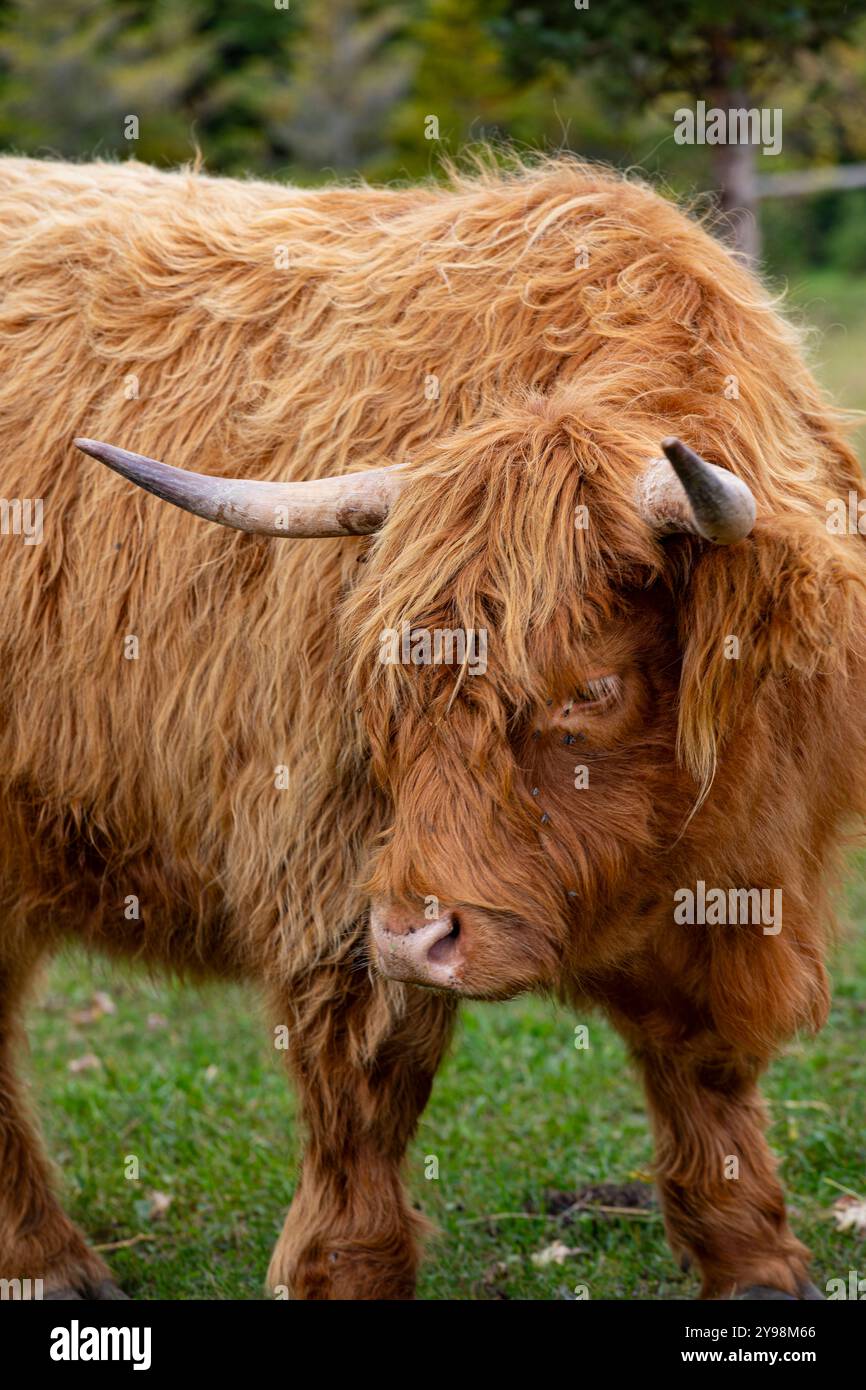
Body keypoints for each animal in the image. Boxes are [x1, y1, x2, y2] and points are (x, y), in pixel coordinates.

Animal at [0, 152, 863, 1302]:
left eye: (589, 688)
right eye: (384, 682)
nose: (421, 935)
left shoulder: (751, 872)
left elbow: (705, 1067)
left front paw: (755, 1260)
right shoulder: (333, 869)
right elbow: (367, 1083)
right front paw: (344, 1272)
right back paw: (47, 1261)